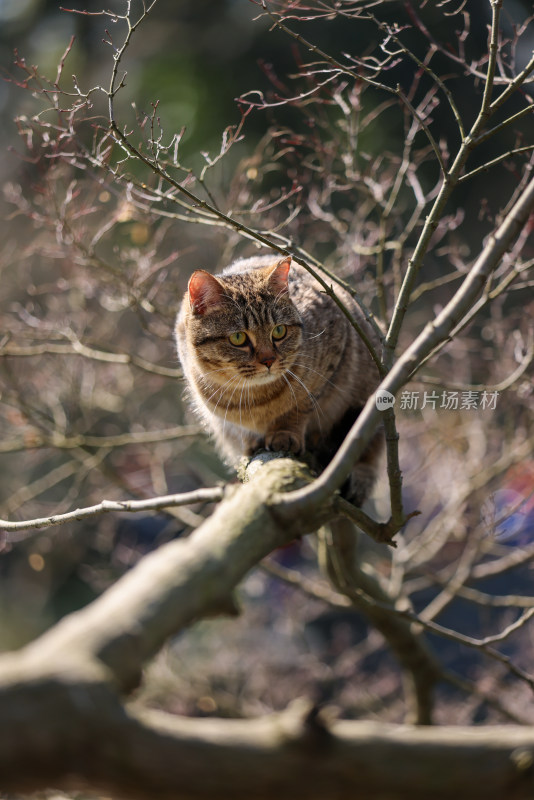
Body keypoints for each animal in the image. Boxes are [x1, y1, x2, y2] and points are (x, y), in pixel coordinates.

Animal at [178, 255, 384, 506]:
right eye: (238, 337)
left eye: (278, 331)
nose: (268, 360)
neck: (255, 398)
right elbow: (240, 428)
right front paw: (251, 441)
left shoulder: (335, 353)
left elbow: (301, 405)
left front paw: (285, 431)